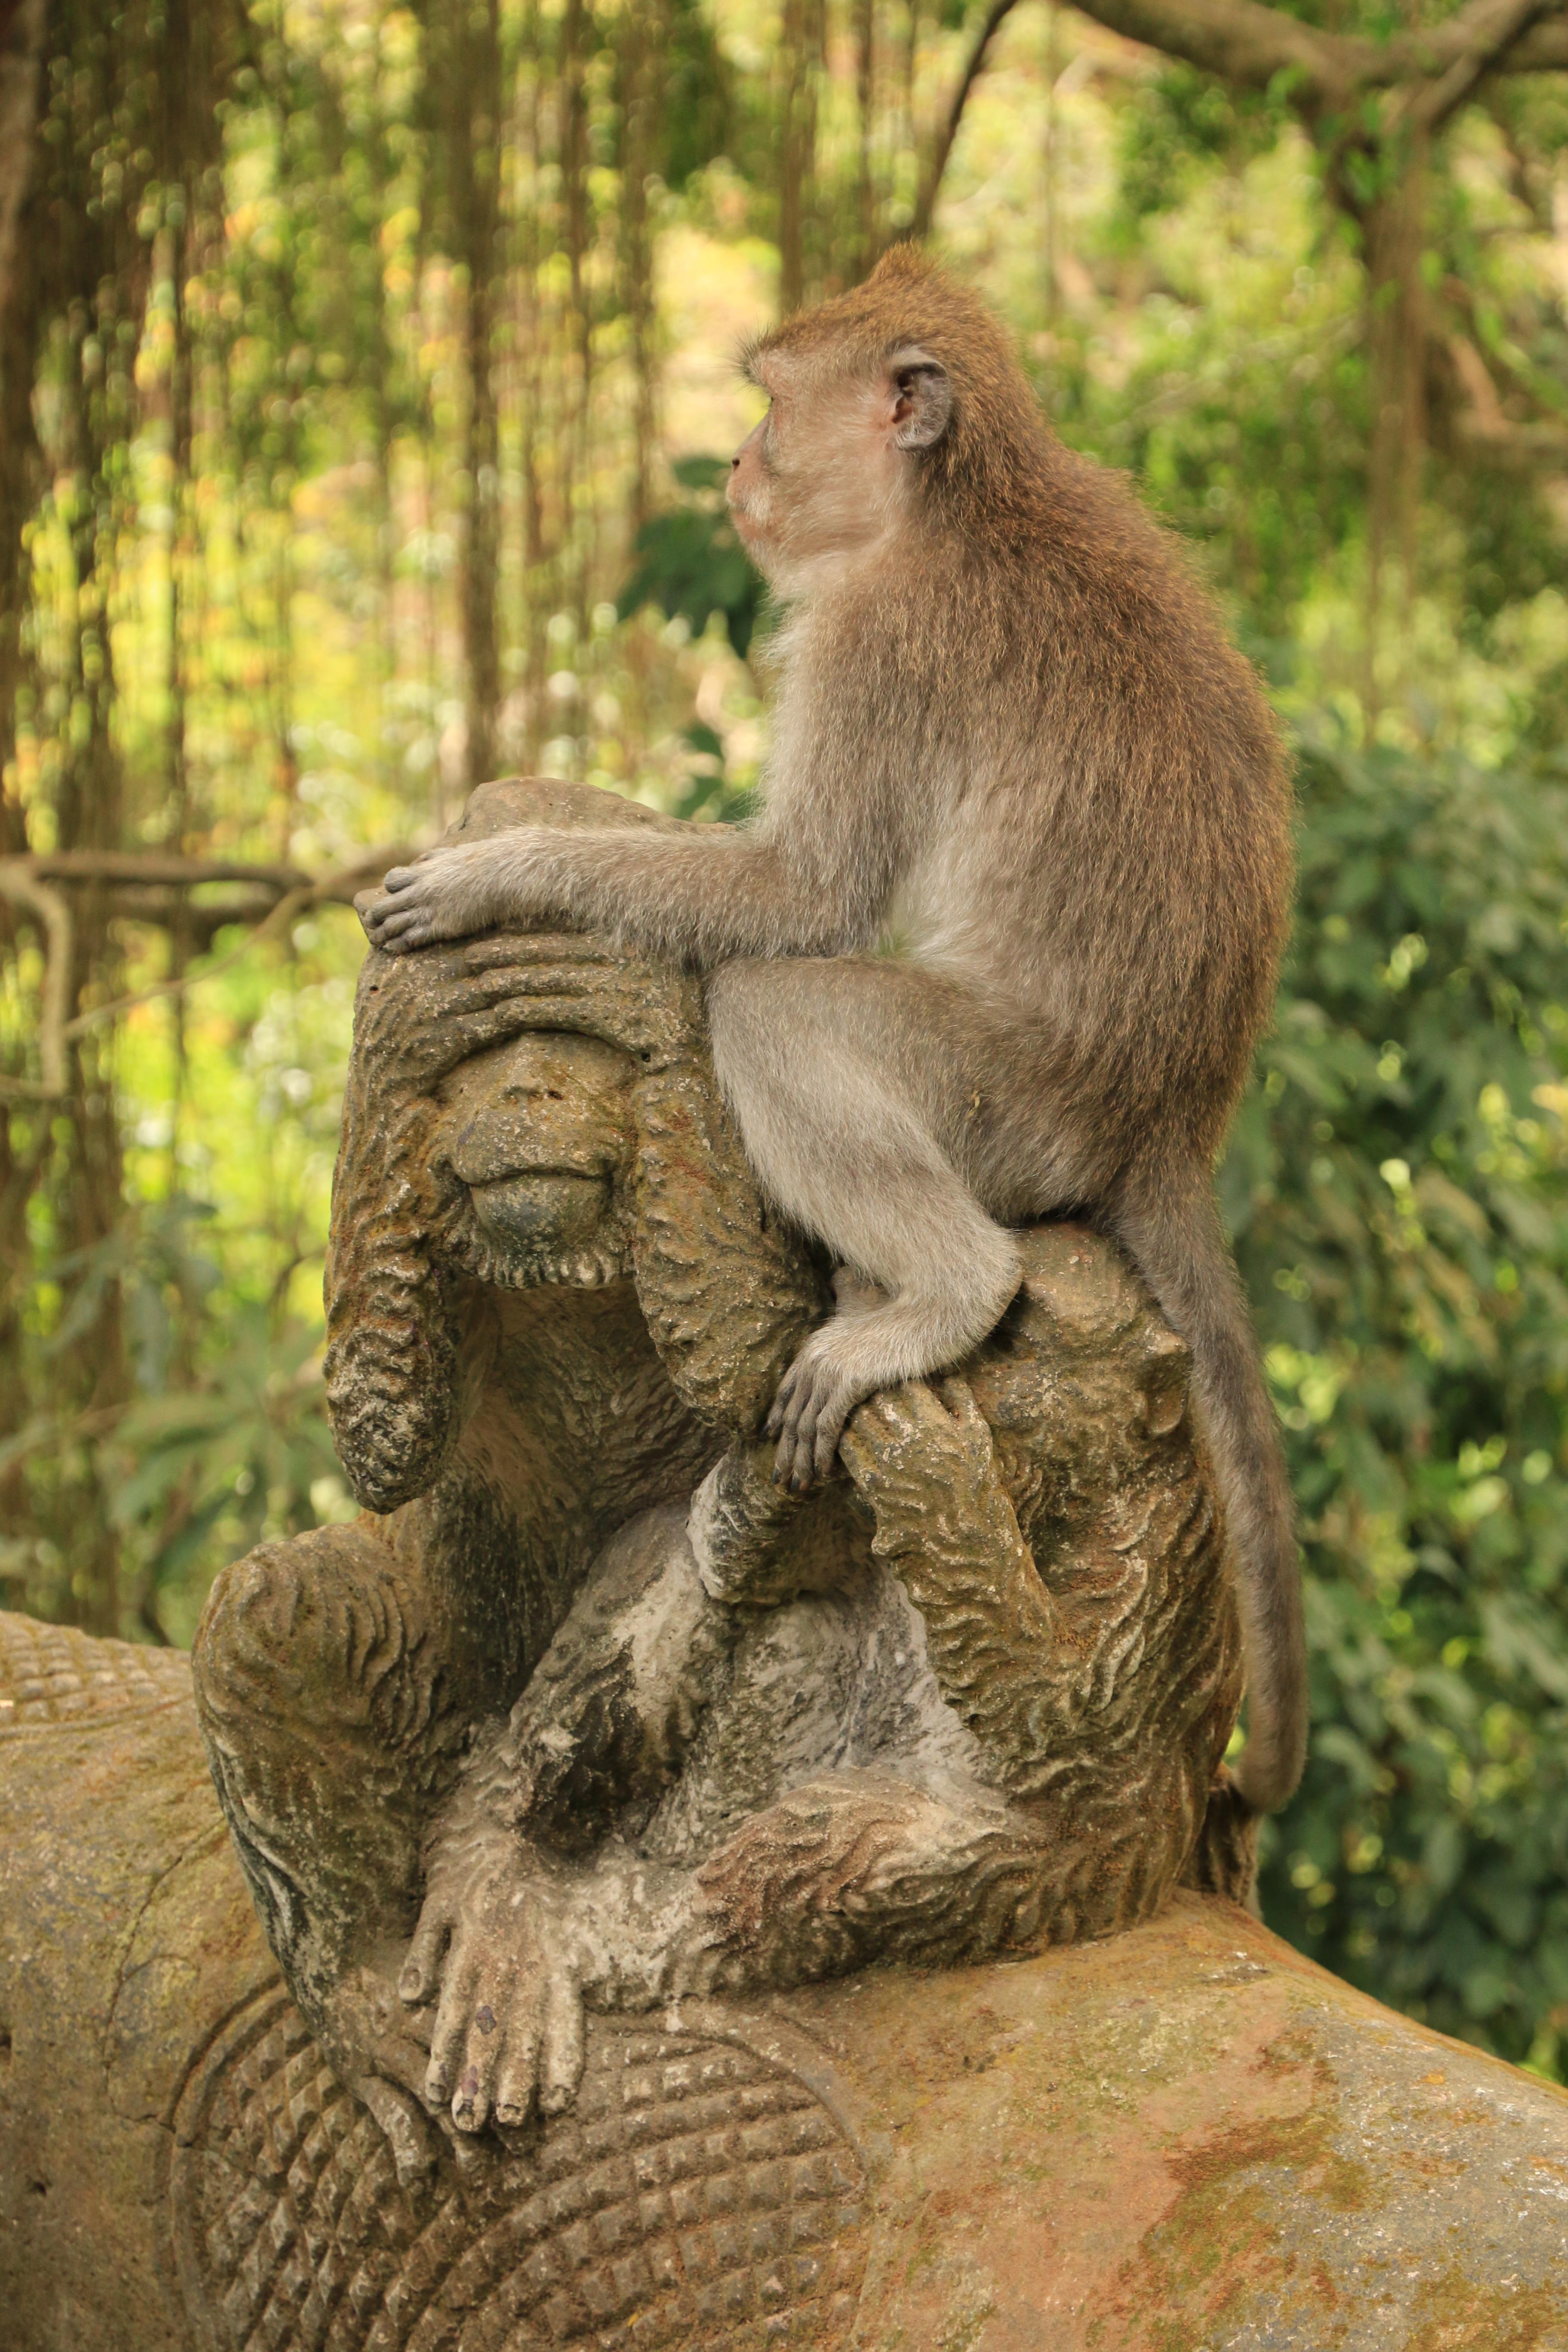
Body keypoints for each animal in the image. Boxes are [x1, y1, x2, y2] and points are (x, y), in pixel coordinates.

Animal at [356, 245, 1304, 1815]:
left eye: (769, 404)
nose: (741, 463)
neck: (967, 497)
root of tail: (1169, 1123)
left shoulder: (875, 639)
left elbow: (799, 898)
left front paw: (504, 870)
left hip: (1002, 1103)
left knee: (778, 1005)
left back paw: (943, 1294)